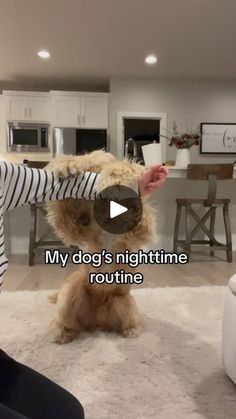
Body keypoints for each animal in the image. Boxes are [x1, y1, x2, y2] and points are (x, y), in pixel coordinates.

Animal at [46, 151, 157, 344]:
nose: (83, 218)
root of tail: (97, 321)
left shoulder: (138, 232)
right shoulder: (76, 231)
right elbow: (62, 210)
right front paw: (67, 164)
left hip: (123, 302)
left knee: (131, 321)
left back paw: (131, 330)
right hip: (72, 291)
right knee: (65, 320)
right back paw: (63, 333)